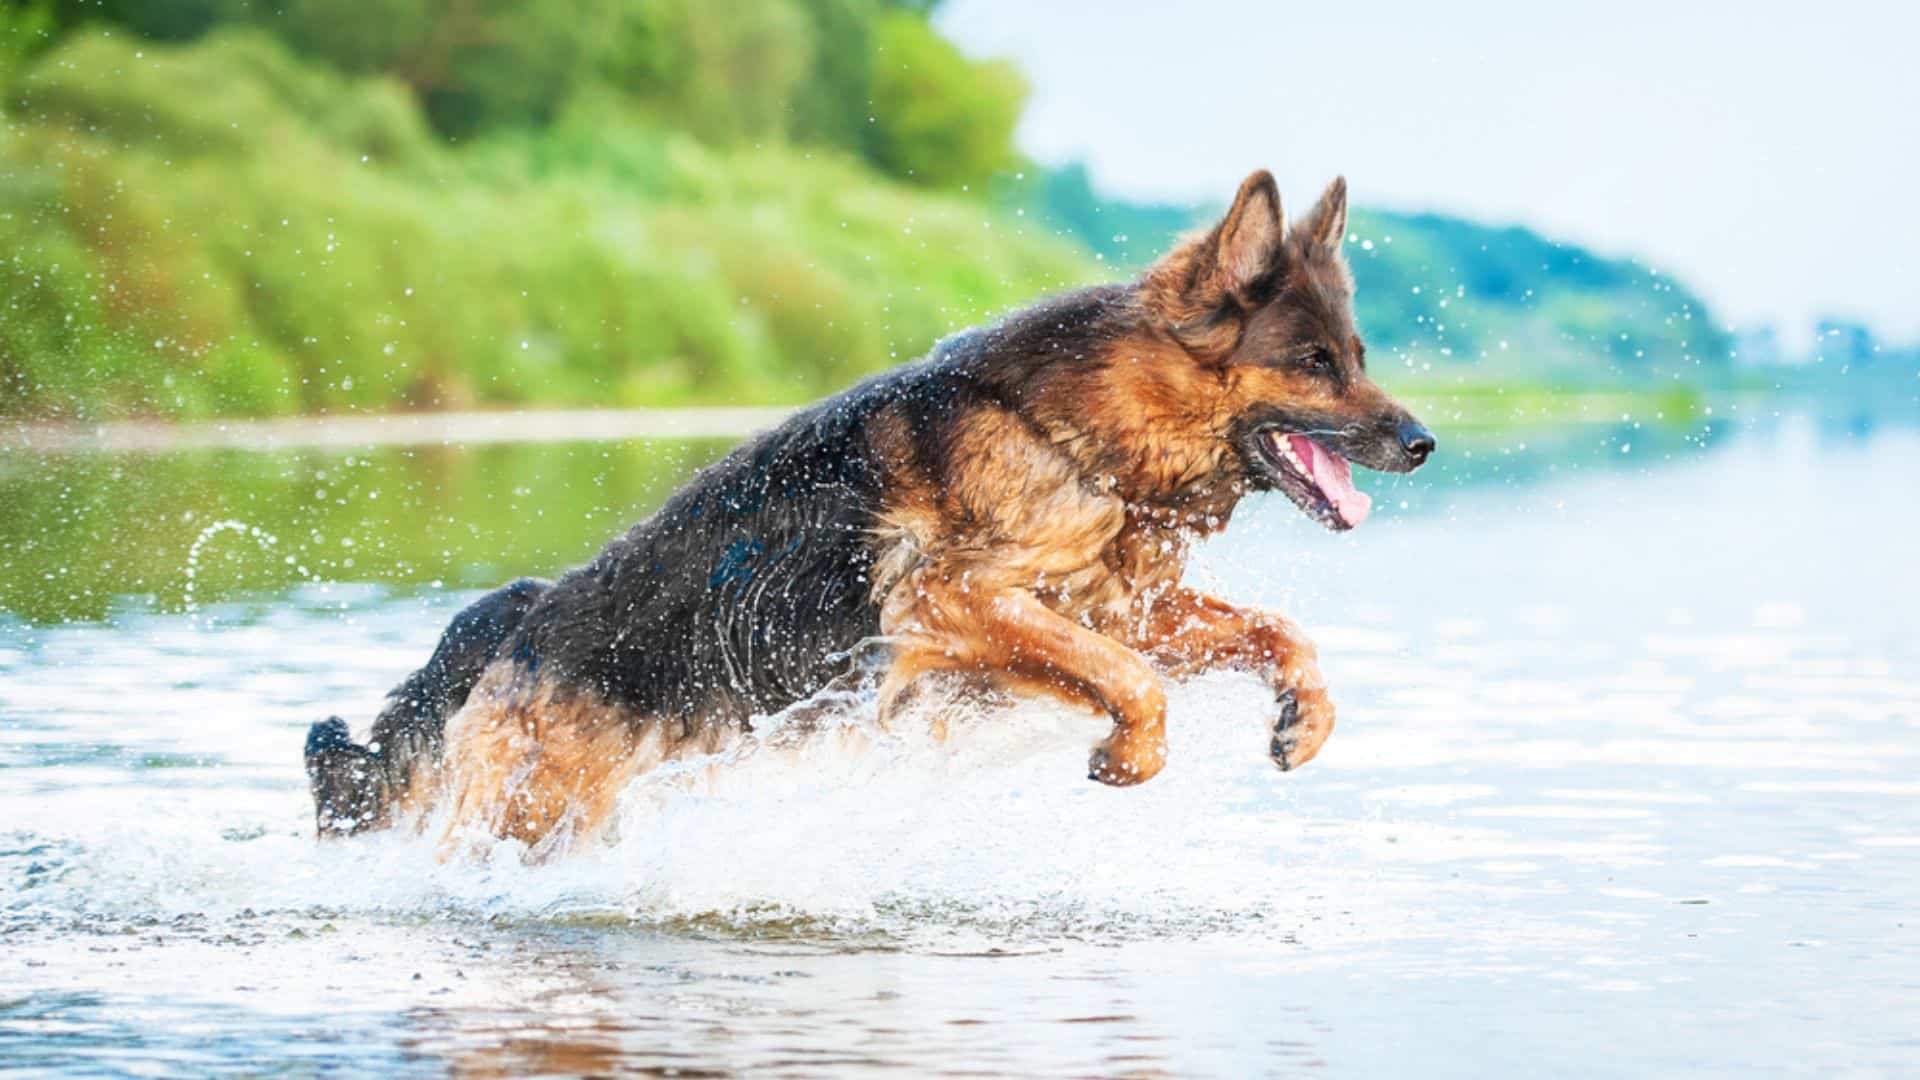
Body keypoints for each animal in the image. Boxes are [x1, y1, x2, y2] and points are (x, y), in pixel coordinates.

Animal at [307, 171, 1436, 845]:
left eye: (1359, 357)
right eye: (1314, 364)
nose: (1423, 443)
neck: (1078, 431)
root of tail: (515, 625)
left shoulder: (1113, 607)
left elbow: (1277, 633)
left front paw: (1307, 720)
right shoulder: (953, 603)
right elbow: (1132, 682)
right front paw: (1130, 754)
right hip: (531, 816)